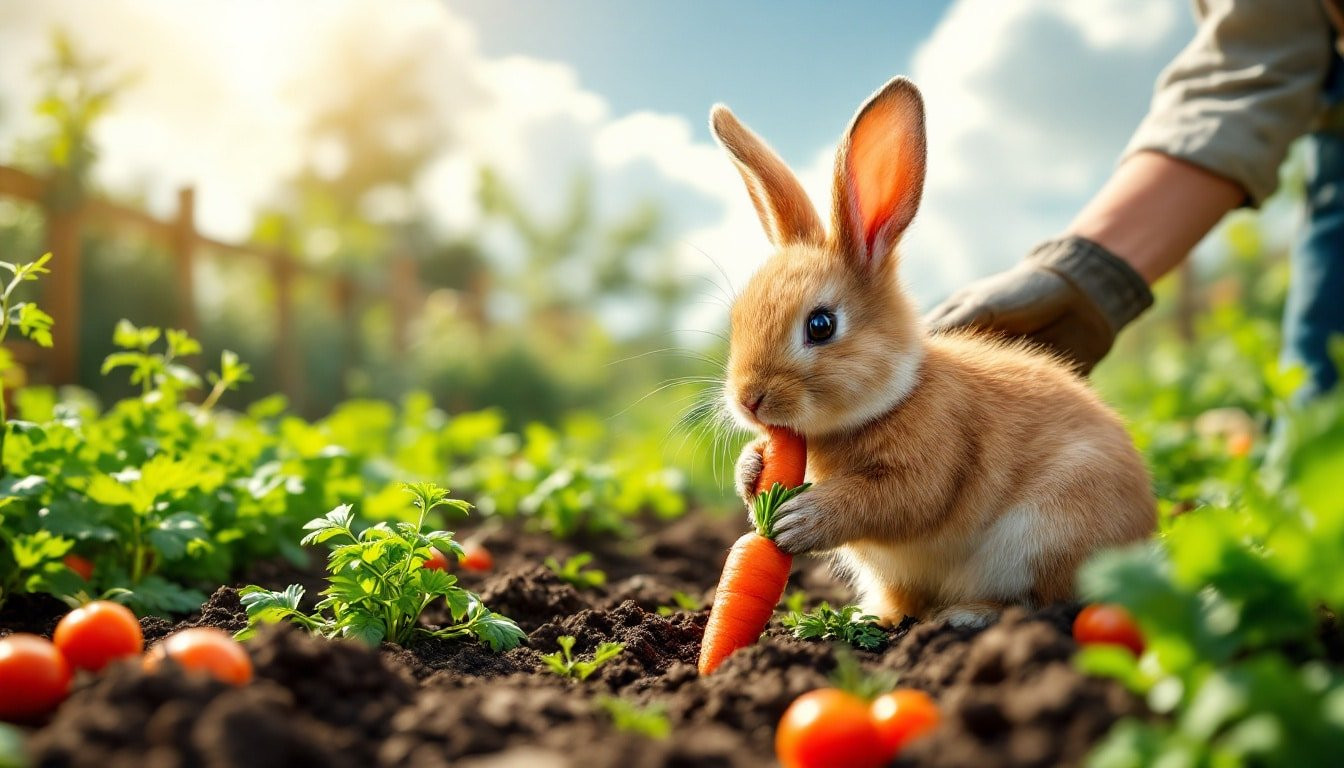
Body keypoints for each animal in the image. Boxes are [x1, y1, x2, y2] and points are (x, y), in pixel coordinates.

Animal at [712, 76, 1155, 628]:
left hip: (1051, 529)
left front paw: (798, 520)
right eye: (737, 318)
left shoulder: (928, 468)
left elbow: (891, 500)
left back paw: (966, 616)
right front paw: (750, 469)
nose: (748, 400)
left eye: (820, 325)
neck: (893, 396)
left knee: (1044, 599)